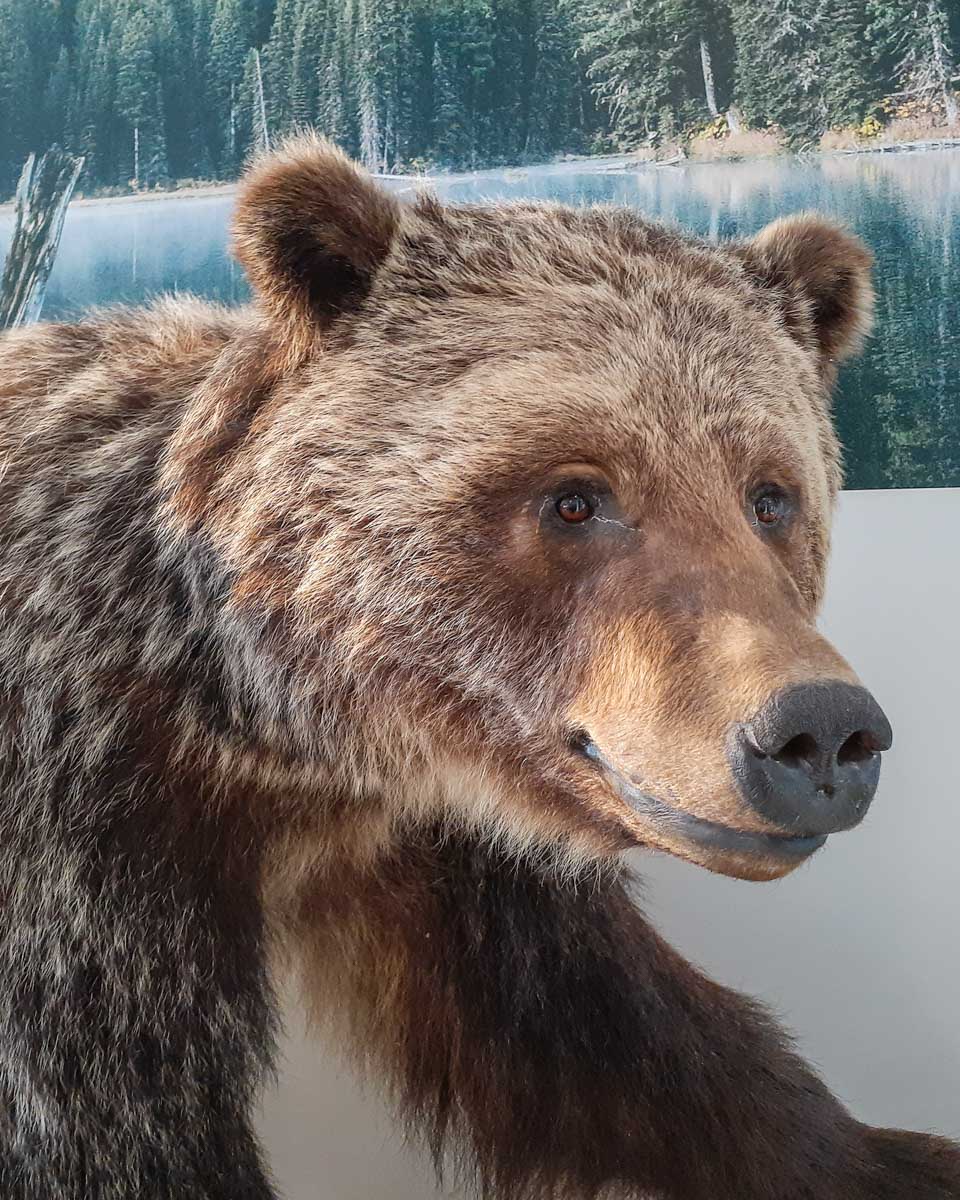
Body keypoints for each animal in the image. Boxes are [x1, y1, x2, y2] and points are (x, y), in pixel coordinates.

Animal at [0, 133, 957, 1200]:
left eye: (770, 496)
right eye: (575, 497)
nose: (818, 730)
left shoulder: (450, 835)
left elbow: (602, 1041)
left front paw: (896, 1154)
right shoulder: (85, 846)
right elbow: (108, 1119)